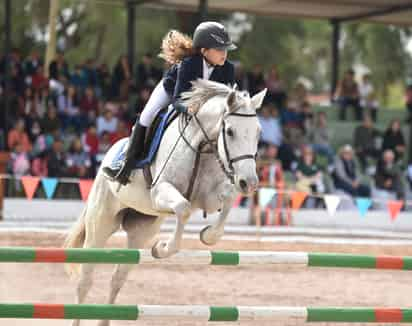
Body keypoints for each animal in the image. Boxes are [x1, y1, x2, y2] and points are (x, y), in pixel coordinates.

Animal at [63, 79, 266, 326]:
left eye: (258, 132)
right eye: (230, 131)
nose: (250, 183)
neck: (203, 147)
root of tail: (109, 153)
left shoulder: (208, 197)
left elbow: (226, 201)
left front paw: (208, 235)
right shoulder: (160, 192)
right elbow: (183, 209)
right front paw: (163, 248)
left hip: (141, 230)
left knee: (117, 277)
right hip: (100, 224)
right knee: (85, 278)